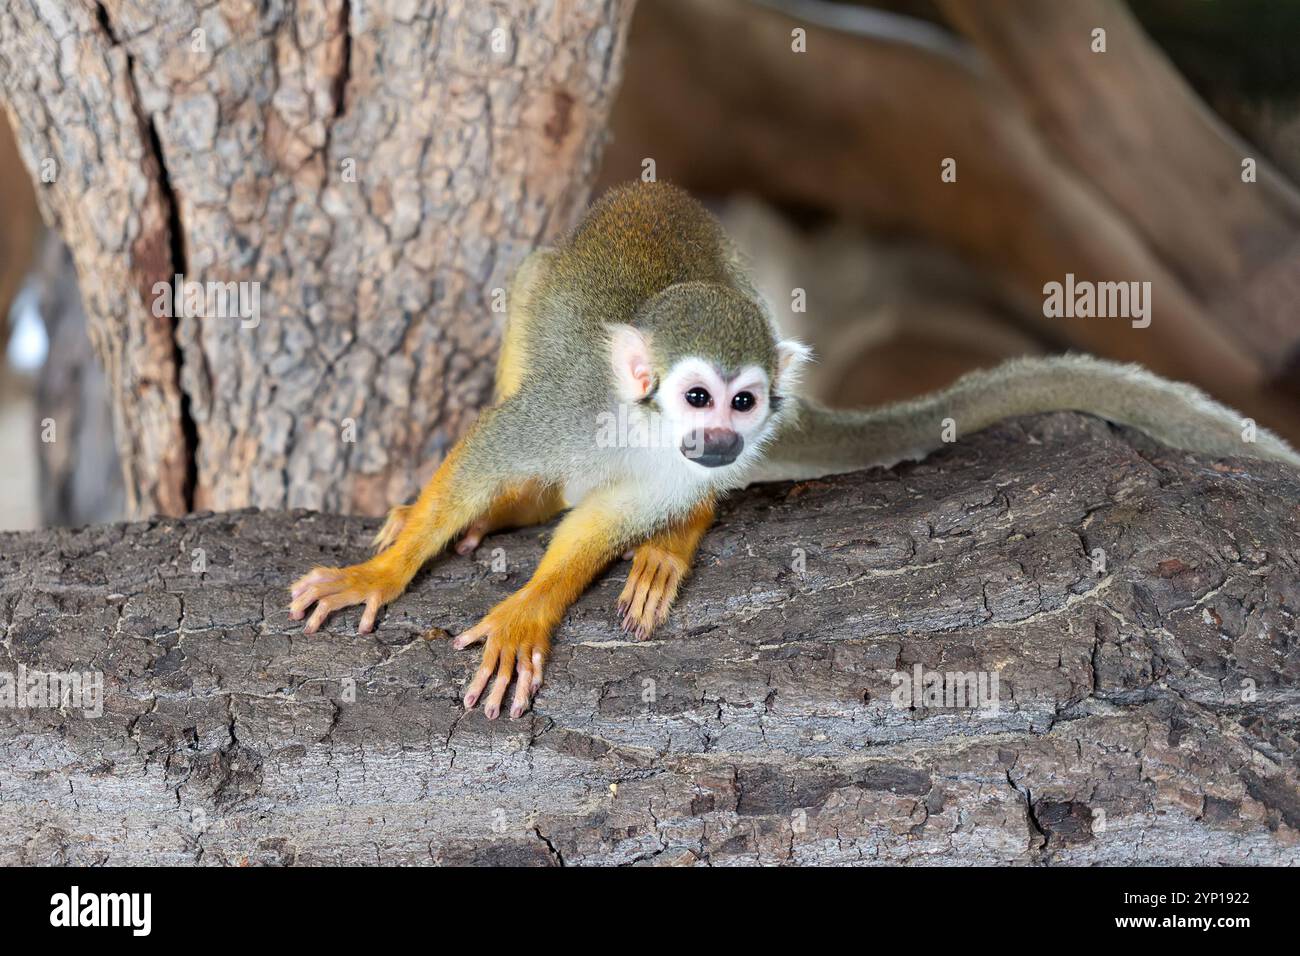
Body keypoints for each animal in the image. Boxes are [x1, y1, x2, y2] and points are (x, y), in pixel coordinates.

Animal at [290, 180, 1299, 721]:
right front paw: (386, 569)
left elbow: (604, 524)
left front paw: (533, 608)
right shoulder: (569, 407)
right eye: (698, 397)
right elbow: (480, 464)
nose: (722, 436)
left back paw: (676, 536)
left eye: (743, 402)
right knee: (536, 283)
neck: (643, 429)